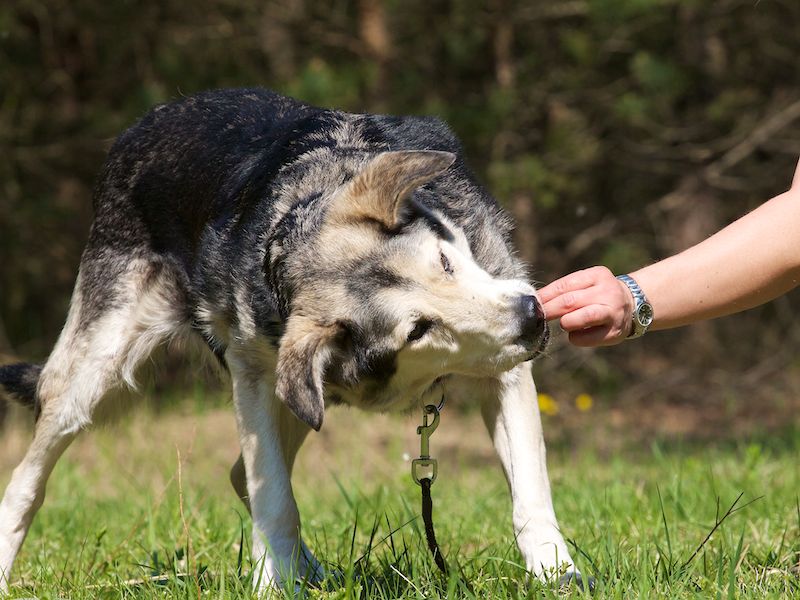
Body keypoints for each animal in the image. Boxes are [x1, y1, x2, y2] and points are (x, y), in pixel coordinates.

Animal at [0, 88, 583, 592]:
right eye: (419, 329)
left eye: (444, 261)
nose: (532, 316)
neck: (292, 231)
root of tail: (147, 120)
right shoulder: (255, 378)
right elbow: (275, 498)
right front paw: (271, 584)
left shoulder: (505, 370)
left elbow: (531, 494)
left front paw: (559, 577)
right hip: (96, 377)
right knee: (27, 482)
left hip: (301, 399)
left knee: (240, 474)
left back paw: (313, 573)